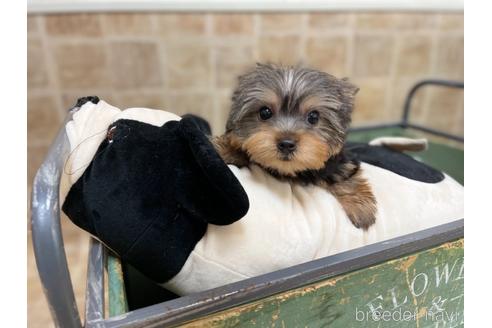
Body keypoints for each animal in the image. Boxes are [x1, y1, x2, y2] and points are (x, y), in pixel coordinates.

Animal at [212, 63, 376, 228]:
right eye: (265, 112)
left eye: (313, 116)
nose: (286, 144)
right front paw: (223, 149)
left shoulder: (338, 163)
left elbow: (344, 174)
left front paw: (360, 207)